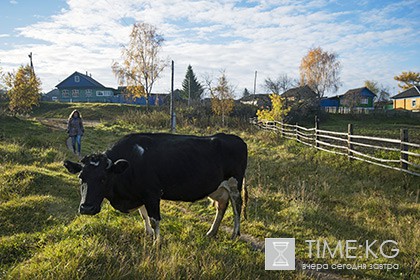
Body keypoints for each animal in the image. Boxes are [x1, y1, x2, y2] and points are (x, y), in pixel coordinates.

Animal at [62, 132, 246, 240]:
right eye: (81, 177)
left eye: (103, 178)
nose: (86, 208)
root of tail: (235, 138)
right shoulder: (140, 194)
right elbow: (144, 215)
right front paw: (148, 233)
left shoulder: (152, 194)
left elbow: (154, 219)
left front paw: (156, 244)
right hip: (218, 188)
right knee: (222, 206)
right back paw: (211, 232)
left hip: (234, 184)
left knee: (237, 207)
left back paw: (235, 234)